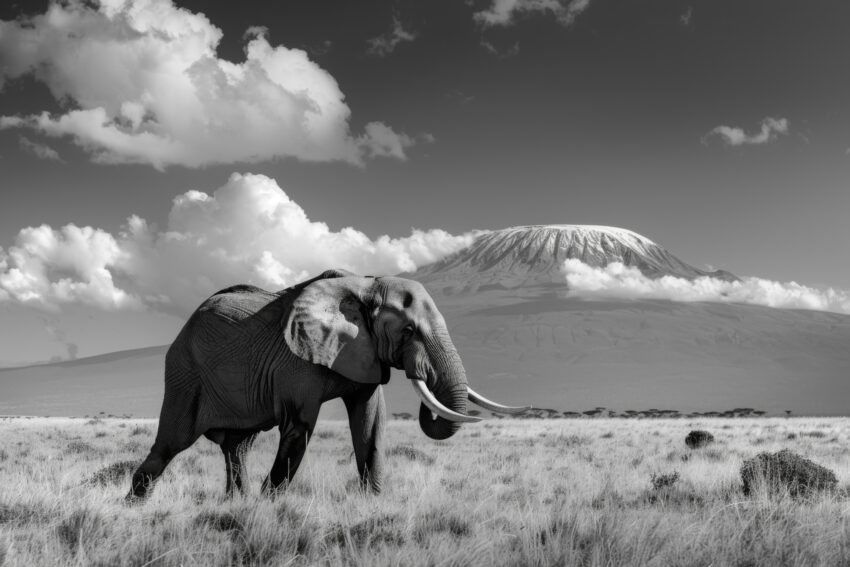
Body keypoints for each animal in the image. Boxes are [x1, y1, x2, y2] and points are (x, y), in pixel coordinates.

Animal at [127, 269, 526, 500]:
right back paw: (137, 503)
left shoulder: (365, 353)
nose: (421, 374)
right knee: (171, 442)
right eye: (408, 331)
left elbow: (370, 423)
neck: (366, 286)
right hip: (184, 373)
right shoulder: (295, 359)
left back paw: (235, 502)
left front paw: (372, 503)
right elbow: (299, 427)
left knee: (237, 446)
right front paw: (268, 507)